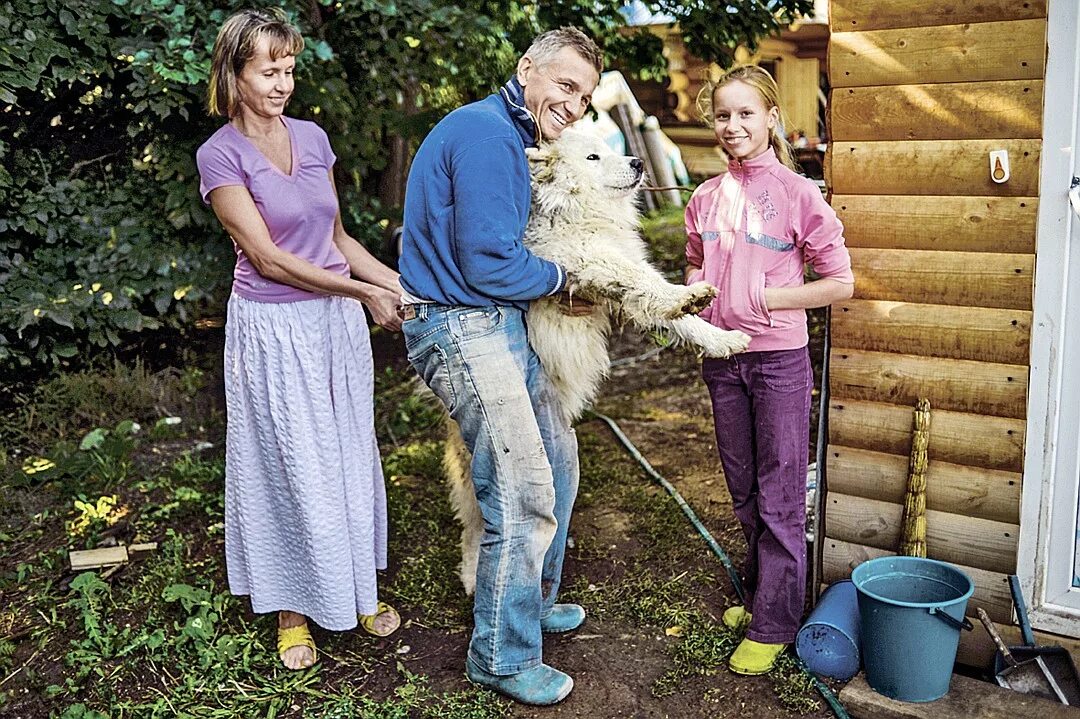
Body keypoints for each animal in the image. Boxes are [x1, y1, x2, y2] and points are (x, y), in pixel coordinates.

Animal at [447, 130, 751, 591]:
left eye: (611, 150)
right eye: (593, 157)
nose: (639, 163)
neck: (576, 211)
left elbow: (677, 316)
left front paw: (721, 338)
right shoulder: (587, 257)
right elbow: (646, 280)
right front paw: (687, 295)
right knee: (474, 519)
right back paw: (469, 572)